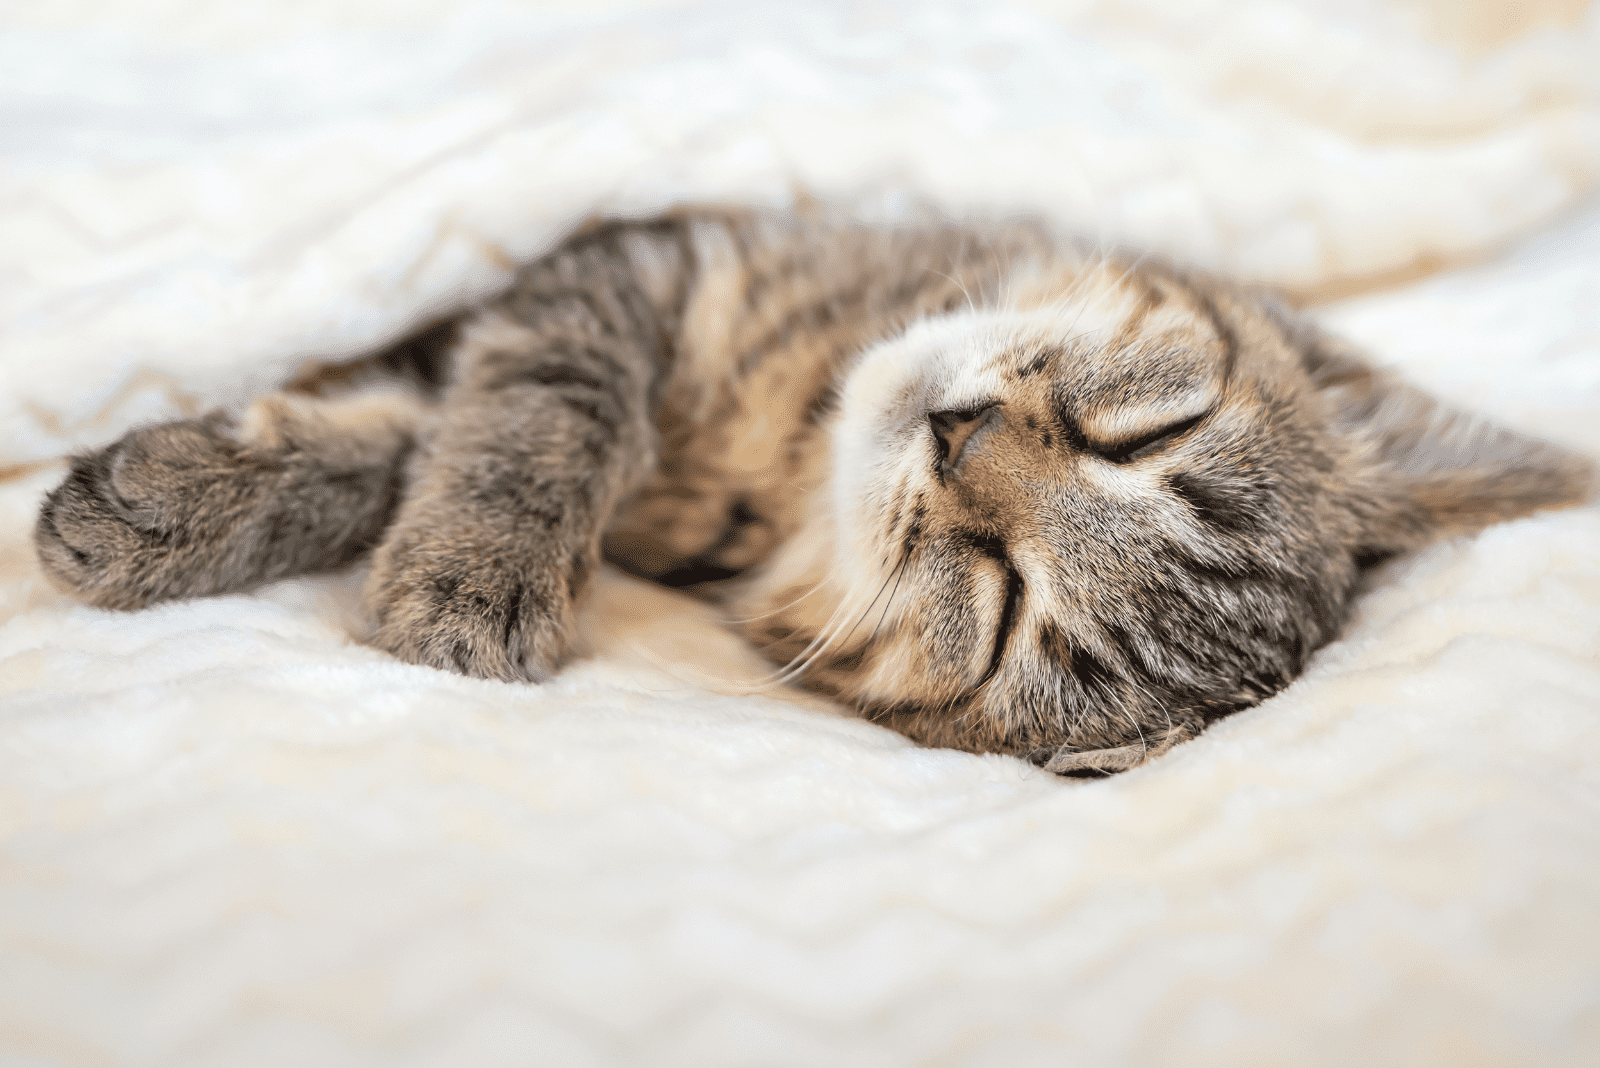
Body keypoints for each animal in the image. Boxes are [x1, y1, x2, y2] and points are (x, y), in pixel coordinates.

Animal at [31, 204, 1593, 770]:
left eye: (1005, 612)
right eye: (1150, 431)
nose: (961, 439)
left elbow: (418, 436)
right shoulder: (619, 265)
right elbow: (529, 413)